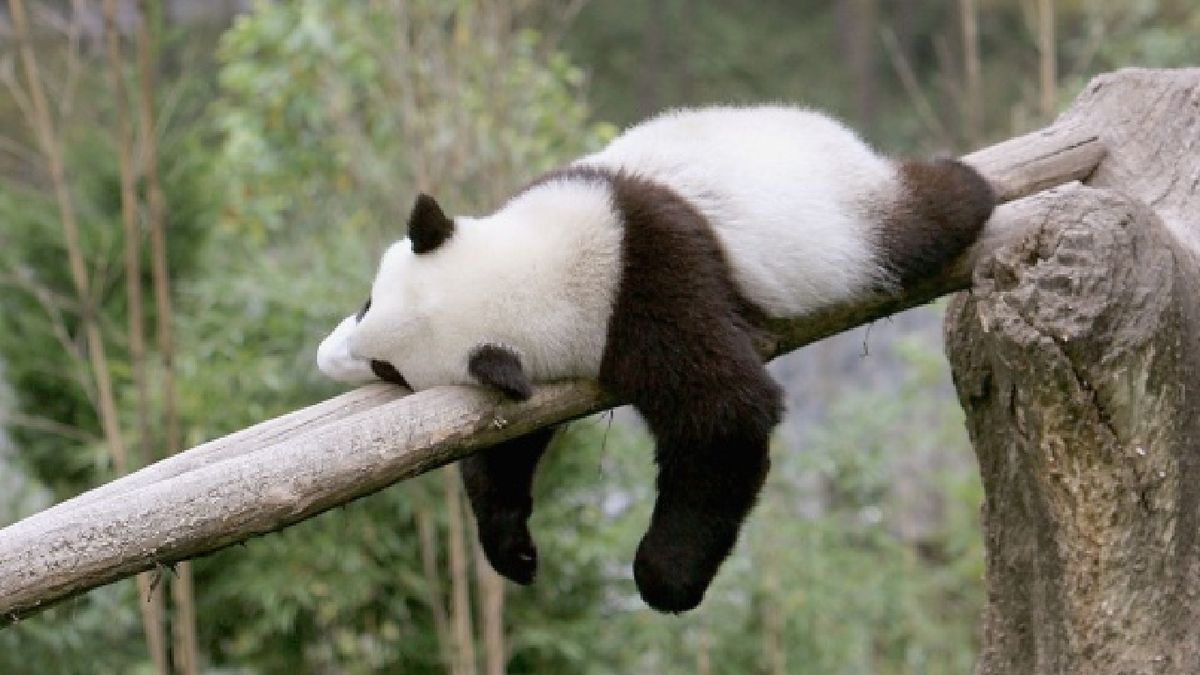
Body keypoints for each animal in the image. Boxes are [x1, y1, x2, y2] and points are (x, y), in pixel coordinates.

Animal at [317, 105, 995, 613]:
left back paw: (967, 183)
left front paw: (661, 579)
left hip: (847, 221)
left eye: (389, 368)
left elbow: (726, 414)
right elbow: (510, 438)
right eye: (367, 301)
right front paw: (514, 549)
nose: (326, 357)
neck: (563, 254)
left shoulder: (654, 290)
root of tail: (838, 135)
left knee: (921, 218)